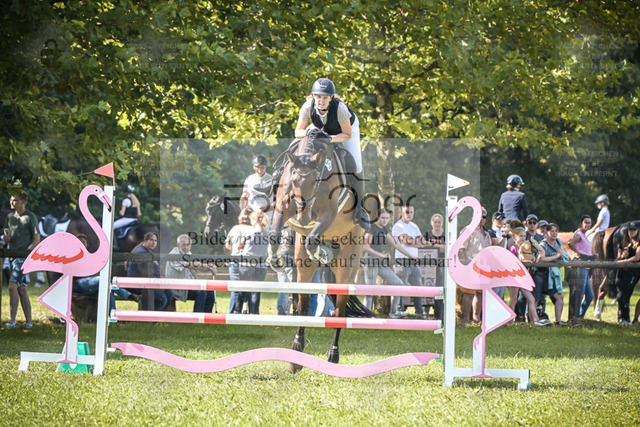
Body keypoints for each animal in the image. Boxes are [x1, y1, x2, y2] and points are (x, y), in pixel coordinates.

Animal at [267, 128, 372, 373]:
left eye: (316, 181)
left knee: (339, 311)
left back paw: (333, 356)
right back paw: (296, 356)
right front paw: (274, 257)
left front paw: (319, 250)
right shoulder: (283, 206)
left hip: (347, 264)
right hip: (303, 268)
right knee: (303, 305)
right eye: (293, 179)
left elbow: (314, 237)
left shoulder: (328, 214)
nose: (304, 218)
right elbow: (275, 231)